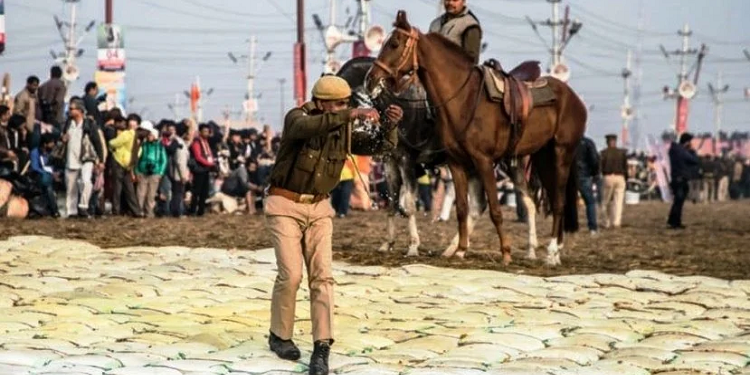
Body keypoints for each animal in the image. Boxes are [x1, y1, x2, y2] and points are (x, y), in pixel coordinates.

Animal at [364, 10, 588, 266]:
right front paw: (460, 250)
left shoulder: (479, 161)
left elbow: (493, 209)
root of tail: (574, 99)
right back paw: (540, 250)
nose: (370, 79)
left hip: (561, 153)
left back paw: (550, 253)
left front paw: (505, 252)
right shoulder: (453, 163)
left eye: (394, 43)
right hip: (538, 158)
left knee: (558, 202)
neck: (462, 99)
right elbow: (459, 207)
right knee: (533, 201)